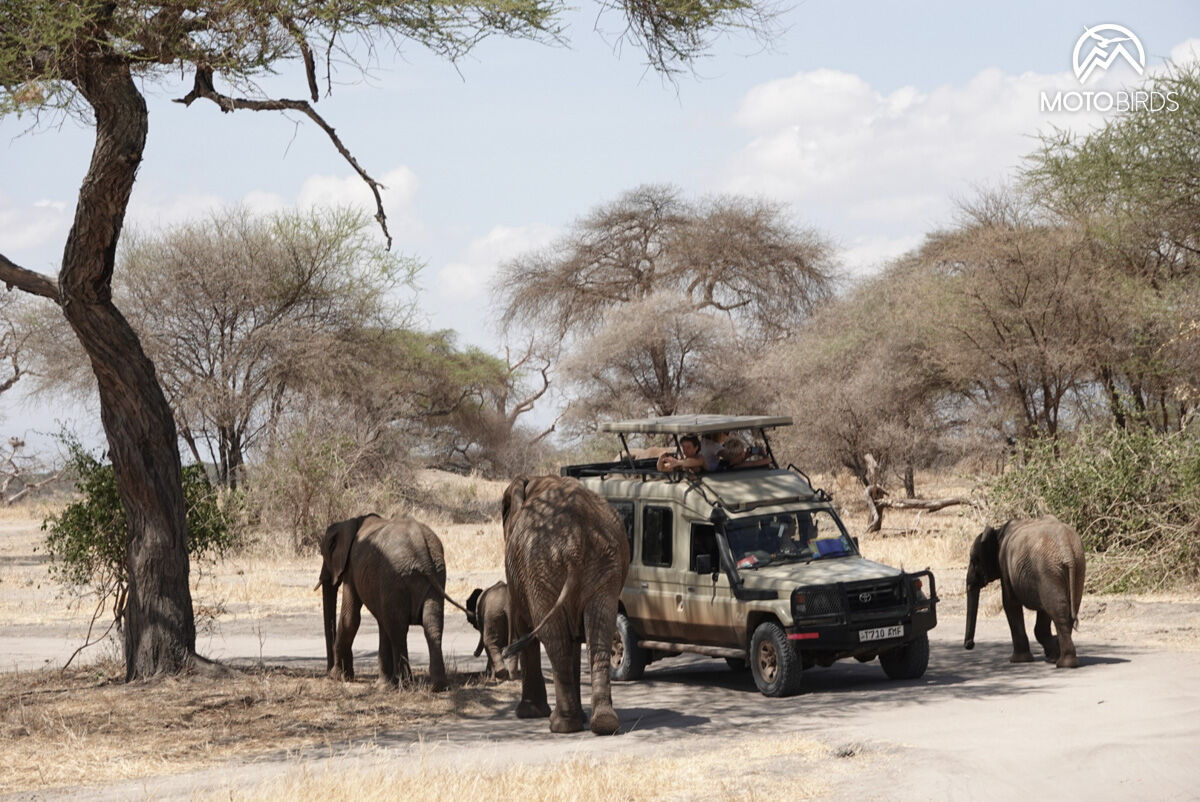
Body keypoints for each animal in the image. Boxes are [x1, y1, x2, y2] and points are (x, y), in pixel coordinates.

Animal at [499, 475, 633, 734]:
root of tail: (575, 544)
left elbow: (526, 628)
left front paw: (529, 714)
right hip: (602, 565)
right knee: (598, 631)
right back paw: (603, 722)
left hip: (540, 569)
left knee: (555, 640)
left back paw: (562, 725)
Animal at [964, 516, 1089, 667]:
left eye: (974, 560)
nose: (970, 645)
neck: (998, 532)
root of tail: (1067, 550)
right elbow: (1042, 612)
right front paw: (1052, 651)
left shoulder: (1005, 565)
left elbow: (1010, 604)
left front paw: (1018, 660)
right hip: (1074, 567)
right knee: (1065, 608)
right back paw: (1061, 659)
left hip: (1048, 568)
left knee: (1057, 609)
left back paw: (1064, 663)